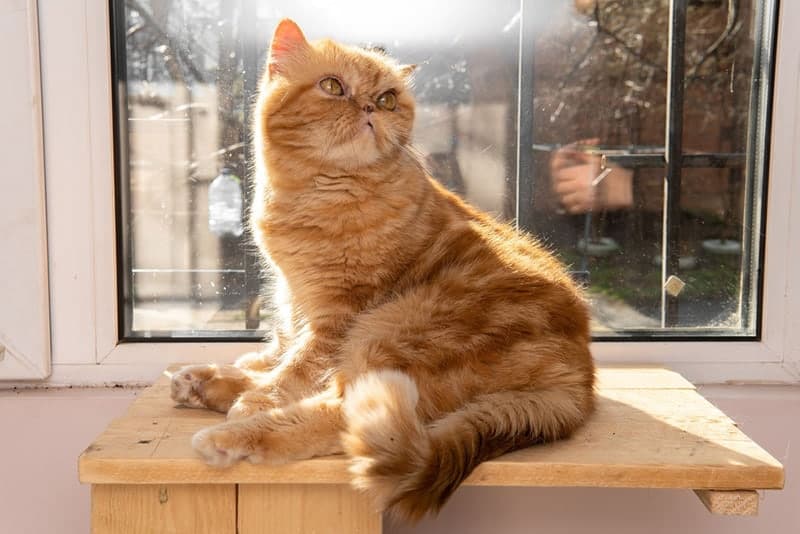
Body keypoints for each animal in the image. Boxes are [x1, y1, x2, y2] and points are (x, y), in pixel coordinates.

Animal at [170, 17, 592, 524]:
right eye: (333, 87)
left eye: (388, 98)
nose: (371, 107)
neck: (319, 191)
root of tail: (580, 380)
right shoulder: (297, 293)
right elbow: (287, 346)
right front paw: (257, 365)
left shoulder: (339, 313)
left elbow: (298, 368)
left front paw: (263, 392)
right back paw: (203, 384)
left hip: (391, 336)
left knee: (337, 413)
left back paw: (229, 432)